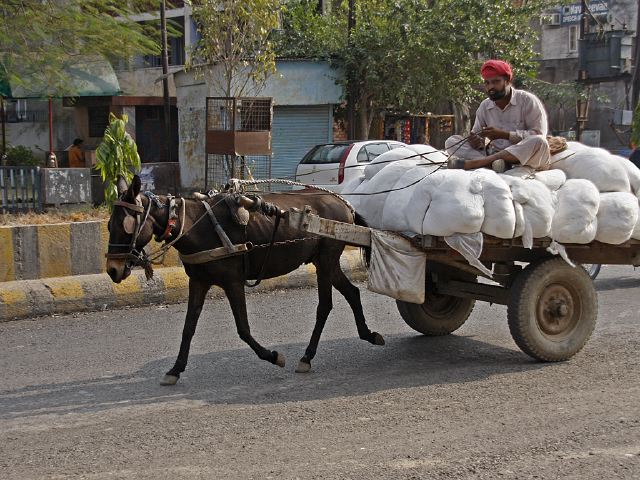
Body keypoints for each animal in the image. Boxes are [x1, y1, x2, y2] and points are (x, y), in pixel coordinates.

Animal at [106, 176, 384, 386]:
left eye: (125, 225)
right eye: (109, 225)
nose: (112, 270)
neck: (196, 226)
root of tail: (343, 203)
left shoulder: (233, 282)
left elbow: (242, 329)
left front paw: (273, 356)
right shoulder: (198, 281)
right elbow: (188, 328)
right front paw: (175, 370)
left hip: (326, 260)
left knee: (325, 305)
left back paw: (307, 357)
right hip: (325, 261)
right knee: (352, 293)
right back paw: (368, 335)